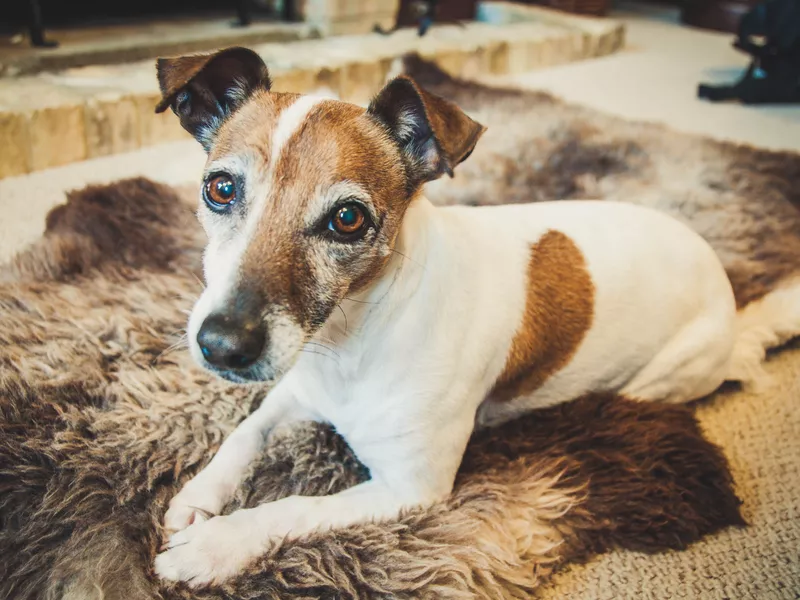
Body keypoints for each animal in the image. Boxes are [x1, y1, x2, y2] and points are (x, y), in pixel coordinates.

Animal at [150, 47, 736, 584]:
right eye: (221, 188)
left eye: (348, 218)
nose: (222, 345)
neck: (350, 340)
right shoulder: (293, 390)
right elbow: (244, 434)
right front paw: (198, 495)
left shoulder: (410, 490)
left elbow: (292, 507)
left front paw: (215, 545)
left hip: (661, 381)